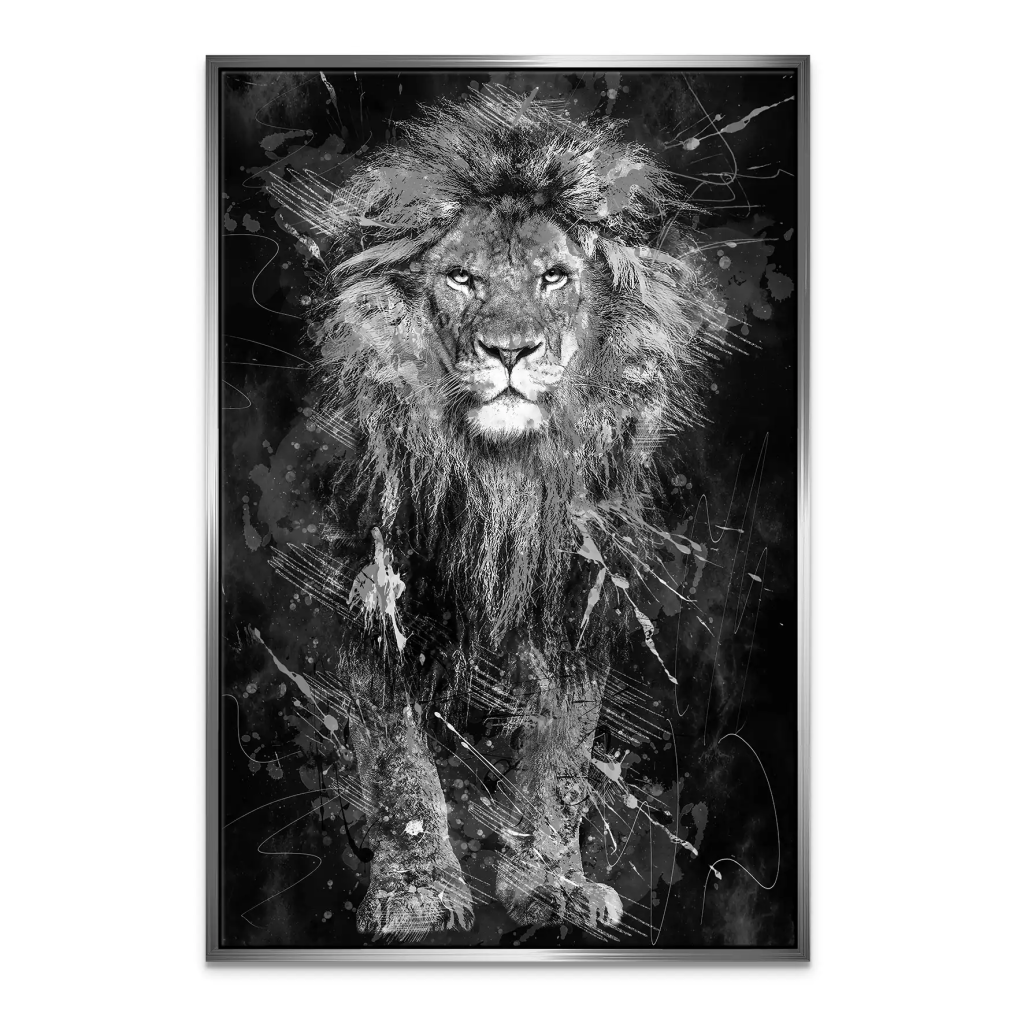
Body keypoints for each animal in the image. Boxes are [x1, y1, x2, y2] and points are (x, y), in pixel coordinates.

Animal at [266, 84, 724, 941]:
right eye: (460, 279)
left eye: (554, 278)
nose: (510, 351)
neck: (499, 481)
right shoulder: (377, 592)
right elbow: (400, 766)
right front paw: (416, 896)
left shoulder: (575, 597)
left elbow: (563, 761)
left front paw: (554, 885)